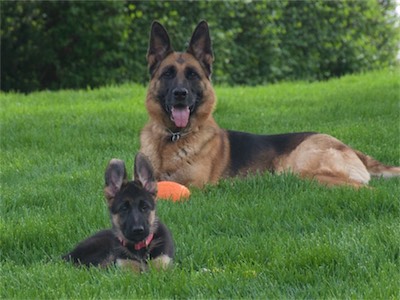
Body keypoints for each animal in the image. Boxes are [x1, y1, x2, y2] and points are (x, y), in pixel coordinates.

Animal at [141, 21, 400, 189]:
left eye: (192, 75)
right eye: (168, 74)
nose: (180, 94)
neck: (172, 139)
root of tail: (349, 148)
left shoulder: (195, 185)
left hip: (302, 170)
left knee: (365, 188)